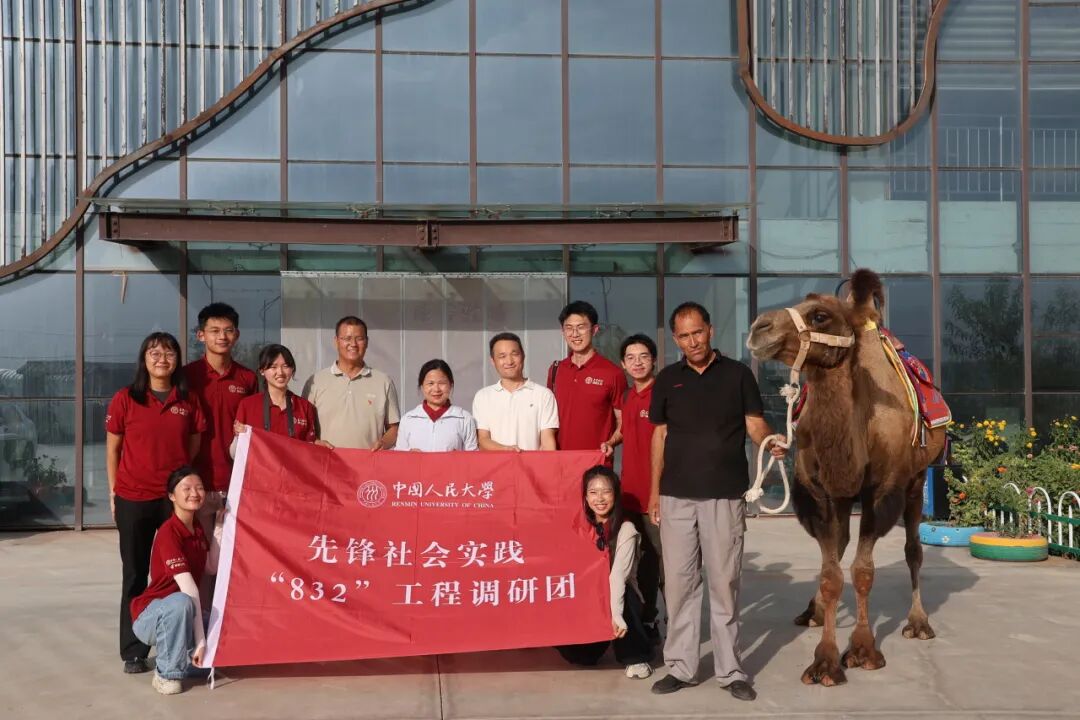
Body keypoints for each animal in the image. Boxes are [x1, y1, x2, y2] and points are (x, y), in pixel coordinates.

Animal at [746, 268, 945, 687]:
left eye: (820, 315)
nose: (759, 327)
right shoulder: (821, 493)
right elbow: (831, 573)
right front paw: (825, 660)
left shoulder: (882, 491)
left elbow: (863, 571)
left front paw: (863, 650)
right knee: (838, 549)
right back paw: (814, 610)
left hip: (918, 479)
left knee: (913, 548)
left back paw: (919, 622)